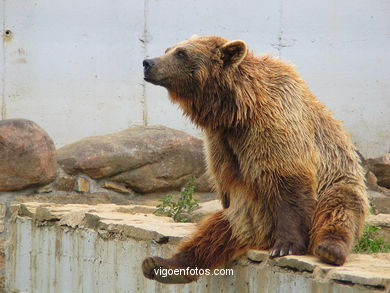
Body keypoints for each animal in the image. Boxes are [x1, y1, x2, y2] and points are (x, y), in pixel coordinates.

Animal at [141, 34, 368, 282]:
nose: (148, 62)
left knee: (339, 207)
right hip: (251, 215)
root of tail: (262, 237)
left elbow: (288, 180)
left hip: (338, 181)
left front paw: (287, 245)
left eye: (181, 53)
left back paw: (330, 249)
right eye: (168, 49)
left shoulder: (274, 125)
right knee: (214, 231)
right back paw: (160, 265)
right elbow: (224, 185)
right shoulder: (221, 141)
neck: (237, 109)